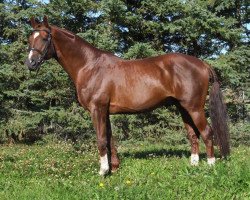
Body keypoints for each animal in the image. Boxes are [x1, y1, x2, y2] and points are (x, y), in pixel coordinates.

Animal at [24, 16, 229, 175]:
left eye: (45, 37)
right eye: (30, 38)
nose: (31, 63)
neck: (89, 66)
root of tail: (202, 64)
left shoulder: (97, 109)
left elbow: (101, 139)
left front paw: (102, 171)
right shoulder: (105, 111)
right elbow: (109, 138)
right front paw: (114, 168)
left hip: (194, 108)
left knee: (207, 132)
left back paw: (211, 166)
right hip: (183, 108)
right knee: (193, 134)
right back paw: (193, 165)